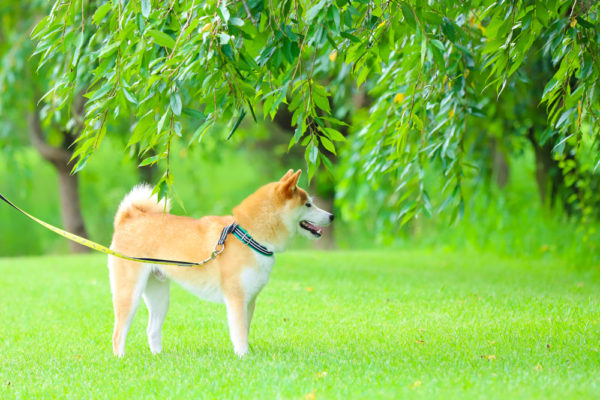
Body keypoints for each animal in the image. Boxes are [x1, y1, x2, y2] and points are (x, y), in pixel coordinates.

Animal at [108, 169, 332, 356]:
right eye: (308, 204)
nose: (332, 215)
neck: (249, 237)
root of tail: (128, 219)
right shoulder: (236, 298)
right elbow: (239, 333)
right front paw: (244, 357)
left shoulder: (250, 300)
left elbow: (245, 330)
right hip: (130, 294)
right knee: (118, 334)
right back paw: (121, 358)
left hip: (160, 296)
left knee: (152, 329)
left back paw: (158, 357)